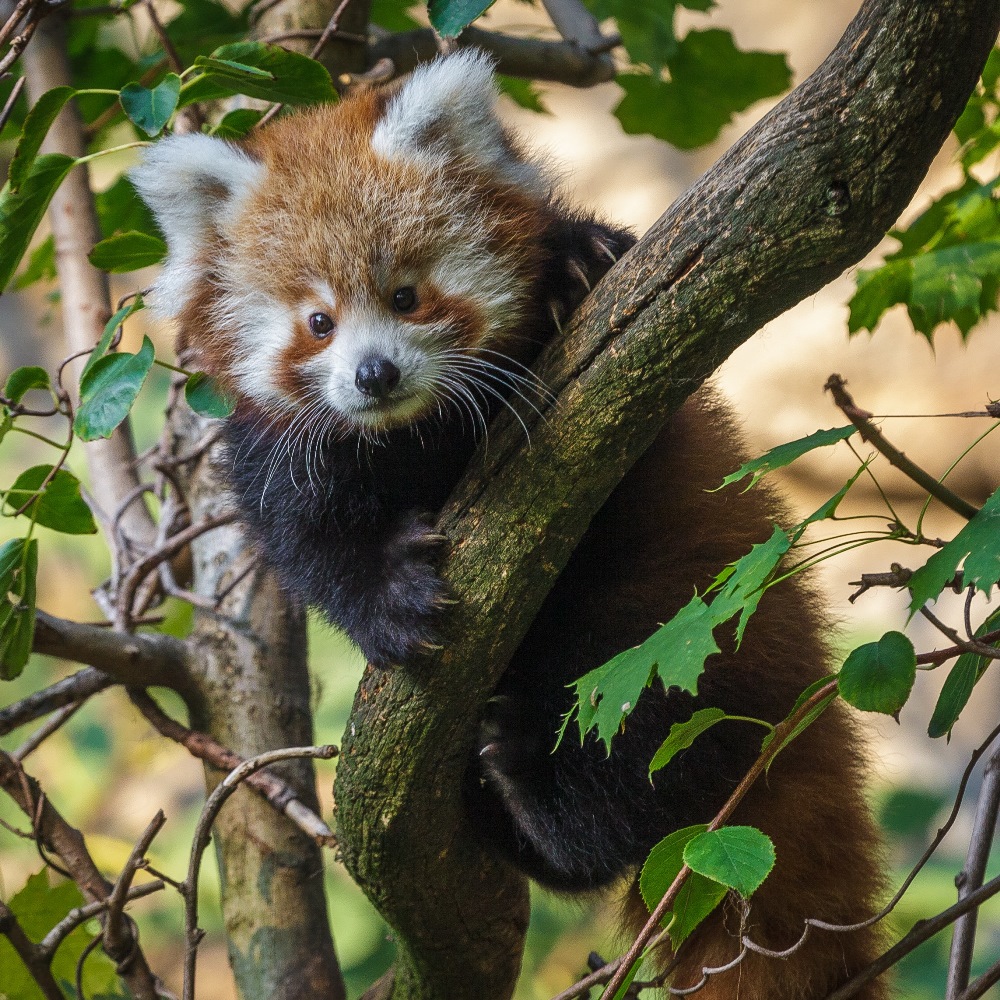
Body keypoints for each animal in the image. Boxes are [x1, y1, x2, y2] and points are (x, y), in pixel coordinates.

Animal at [131, 52, 884, 1000]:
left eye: (406, 295)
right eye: (318, 322)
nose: (374, 374)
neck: (418, 435)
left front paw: (578, 261)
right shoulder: (281, 455)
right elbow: (317, 549)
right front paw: (391, 603)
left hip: (674, 626)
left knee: (639, 738)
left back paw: (534, 786)